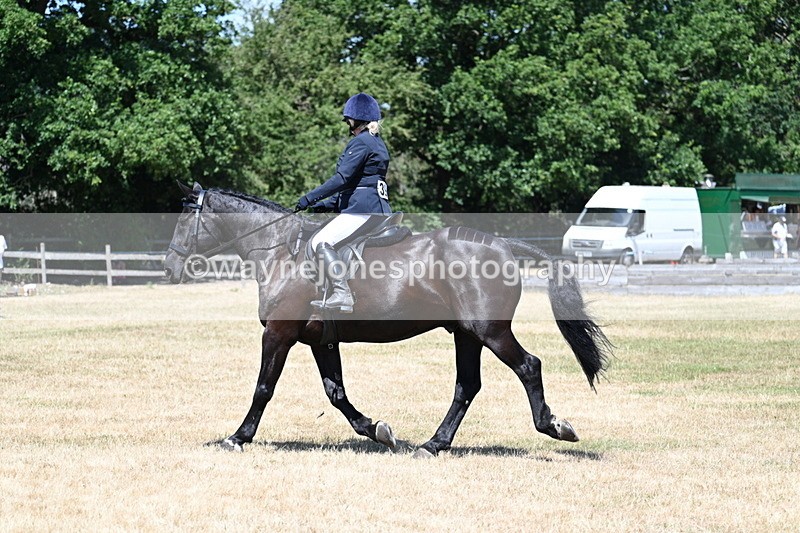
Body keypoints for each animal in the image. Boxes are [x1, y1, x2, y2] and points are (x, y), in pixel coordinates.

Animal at [163, 182, 612, 457]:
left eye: (185, 219)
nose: (169, 268)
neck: (279, 252)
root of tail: (501, 245)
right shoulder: (321, 340)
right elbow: (336, 393)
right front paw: (377, 429)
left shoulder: (279, 334)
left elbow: (263, 388)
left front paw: (238, 437)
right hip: (466, 334)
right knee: (467, 385)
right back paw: (433, 444)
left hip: (491, 332)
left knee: (528, 366)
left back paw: (554, 426)